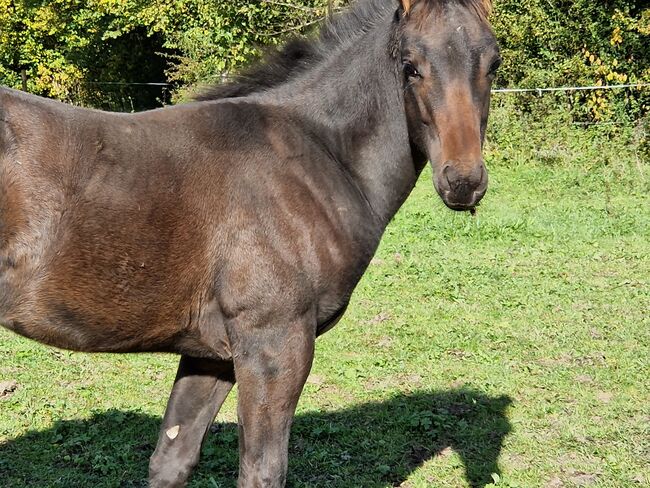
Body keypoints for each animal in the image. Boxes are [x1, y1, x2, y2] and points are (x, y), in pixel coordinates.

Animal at [0, 1, 498, 486]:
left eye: (493, 63)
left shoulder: (210, 355)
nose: (463, 181)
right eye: (409, 66)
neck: (311, 155)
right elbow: (263, 470)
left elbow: (172, 458)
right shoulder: (274, 344)